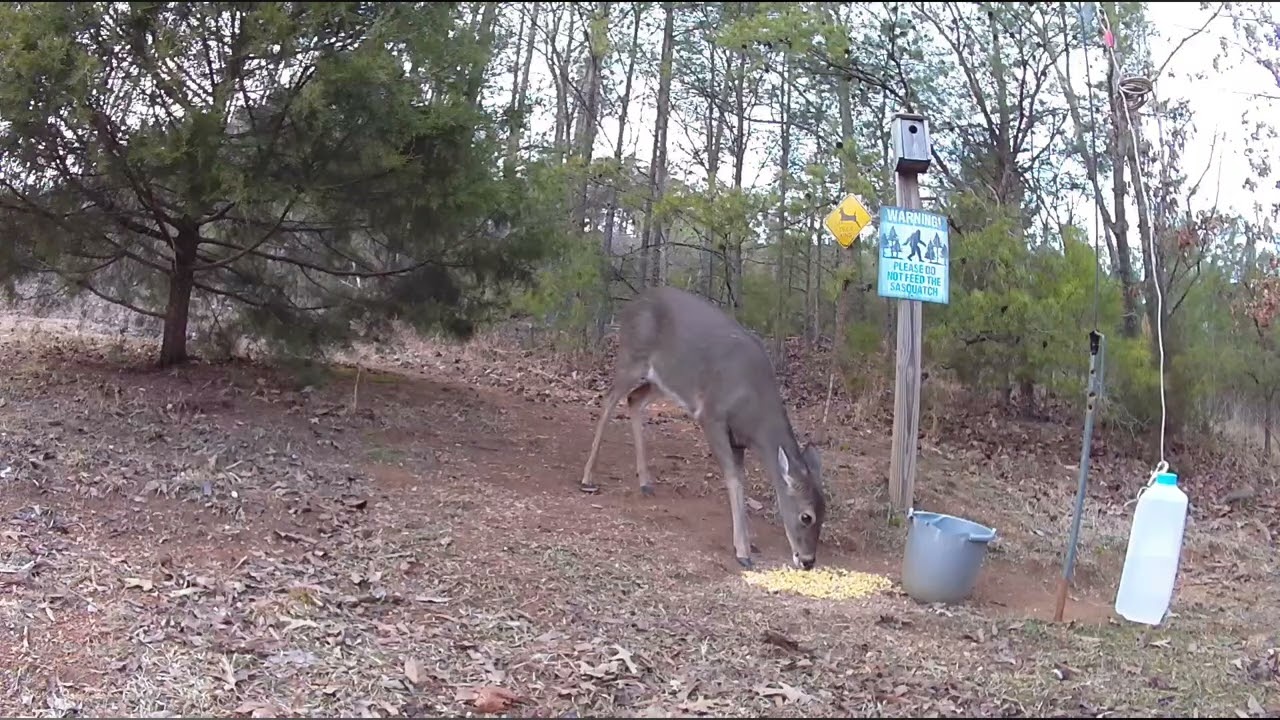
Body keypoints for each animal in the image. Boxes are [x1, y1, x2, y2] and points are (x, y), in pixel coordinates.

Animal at [579, 286, 826, 571]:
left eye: (825, 513)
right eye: (806, 516)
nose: (808, 561)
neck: (754, 409)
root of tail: (632, 304)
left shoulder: (738, 439)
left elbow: (740, 480)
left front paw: (747, 544)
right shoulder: (712, 417)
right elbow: (733, 479)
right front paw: (743, 552)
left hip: (664, 380)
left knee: (634, 399)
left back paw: (645, 482)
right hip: (632, 356)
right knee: (609, 400)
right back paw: (588, 478)